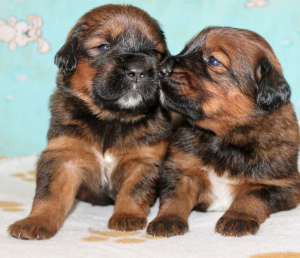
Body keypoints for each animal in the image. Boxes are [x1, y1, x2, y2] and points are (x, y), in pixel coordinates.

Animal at [7, 3, 171, 240]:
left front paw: (126, 217)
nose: (138, 71)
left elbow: (134, 191)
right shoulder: (63, 156)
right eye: (103, 46)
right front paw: (35, 222)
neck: (112, 119)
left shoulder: (145, 160)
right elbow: (49, 195)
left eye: (155, 52)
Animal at [146, 26, 298, 238]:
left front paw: (238, 217)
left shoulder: (280, 184)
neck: (223, 137)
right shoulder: (180, 171)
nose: (161, 68)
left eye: (213, 60)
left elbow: (251, 195)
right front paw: (167, 219)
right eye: (185, 50)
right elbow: (174, 197)